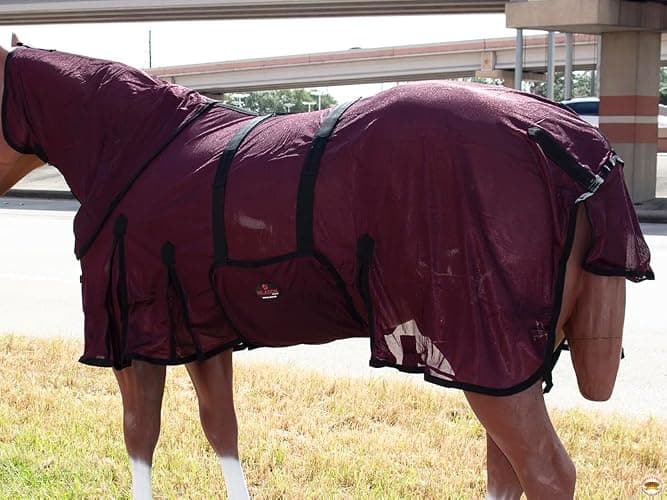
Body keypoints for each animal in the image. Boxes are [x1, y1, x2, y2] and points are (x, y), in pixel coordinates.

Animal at [0, 38, 653, 499]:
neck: (137, 148)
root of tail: (570, 141)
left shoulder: (134, 339)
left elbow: (140, 436)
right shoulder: (201, 334)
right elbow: (222, 429)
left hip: (484, 349)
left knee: (545, 472)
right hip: (504, 364)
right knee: (509, 469)